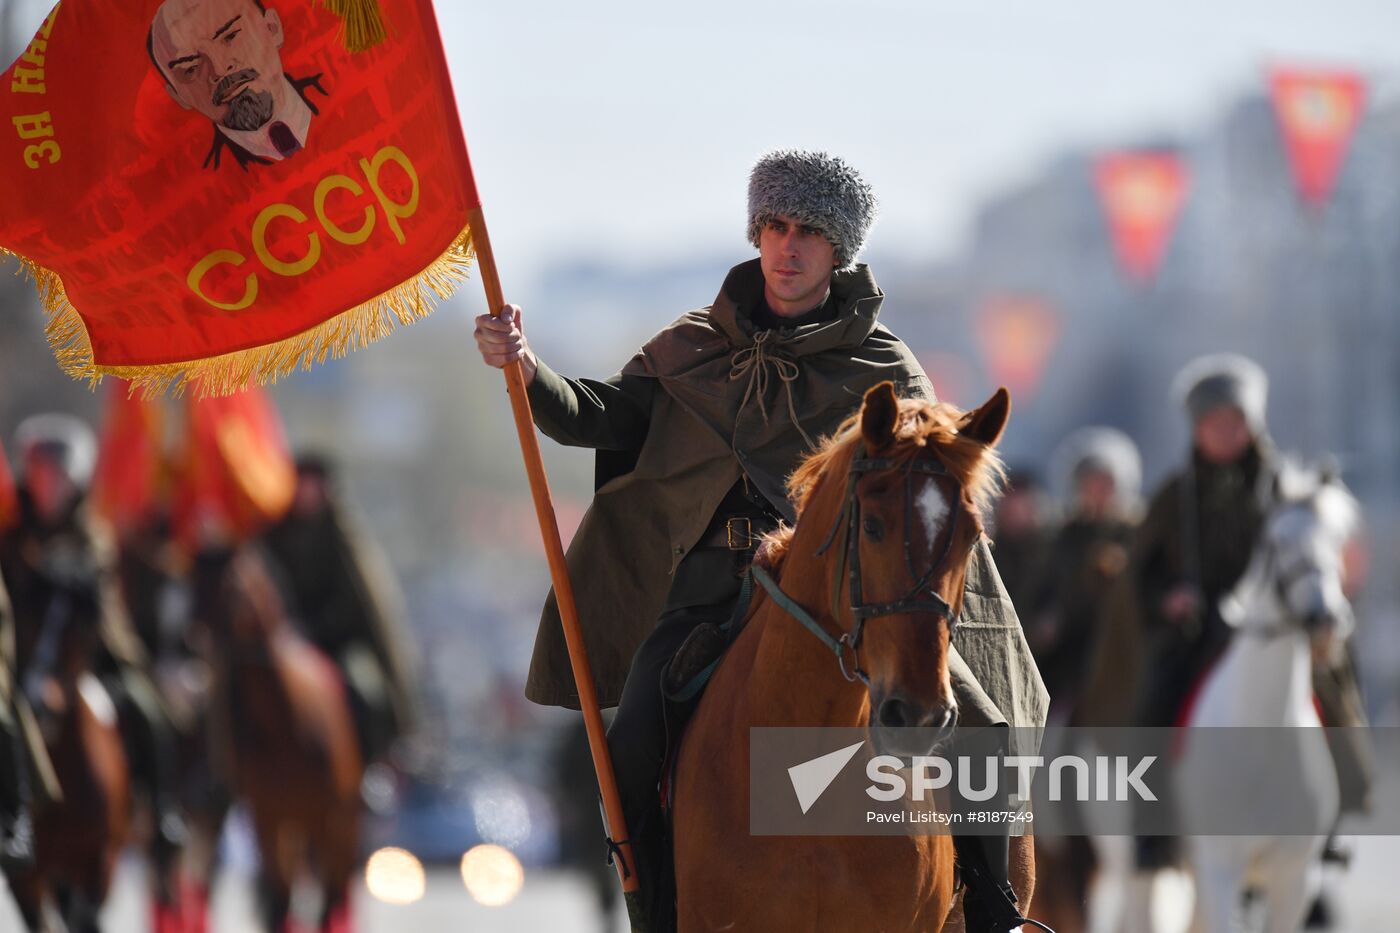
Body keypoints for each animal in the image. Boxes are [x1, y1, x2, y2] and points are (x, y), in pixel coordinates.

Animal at [194, 546, 364, 930]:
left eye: (233, 586)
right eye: (190, 584)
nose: (197, 636)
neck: (286, 728)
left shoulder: (329, 818)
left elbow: (323, 902)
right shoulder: (268, 820)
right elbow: (279, 900)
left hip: (340, 825)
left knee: (333, 894)